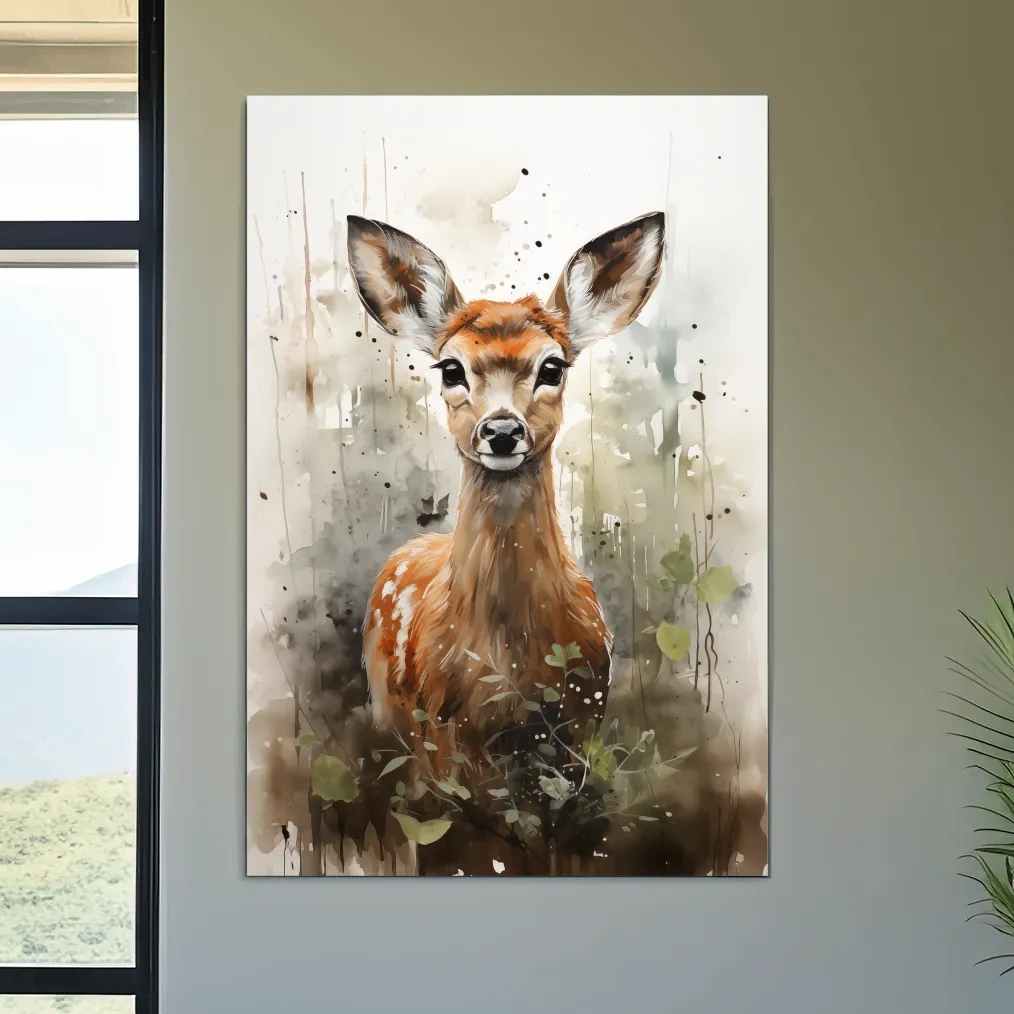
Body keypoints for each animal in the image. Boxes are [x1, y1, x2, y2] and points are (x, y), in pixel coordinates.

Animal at [347, 211, 666, 760]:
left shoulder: (584, 718)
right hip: (390, 711)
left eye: (552, 366)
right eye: (450, 367)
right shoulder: (441, 733)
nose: (500, 430)